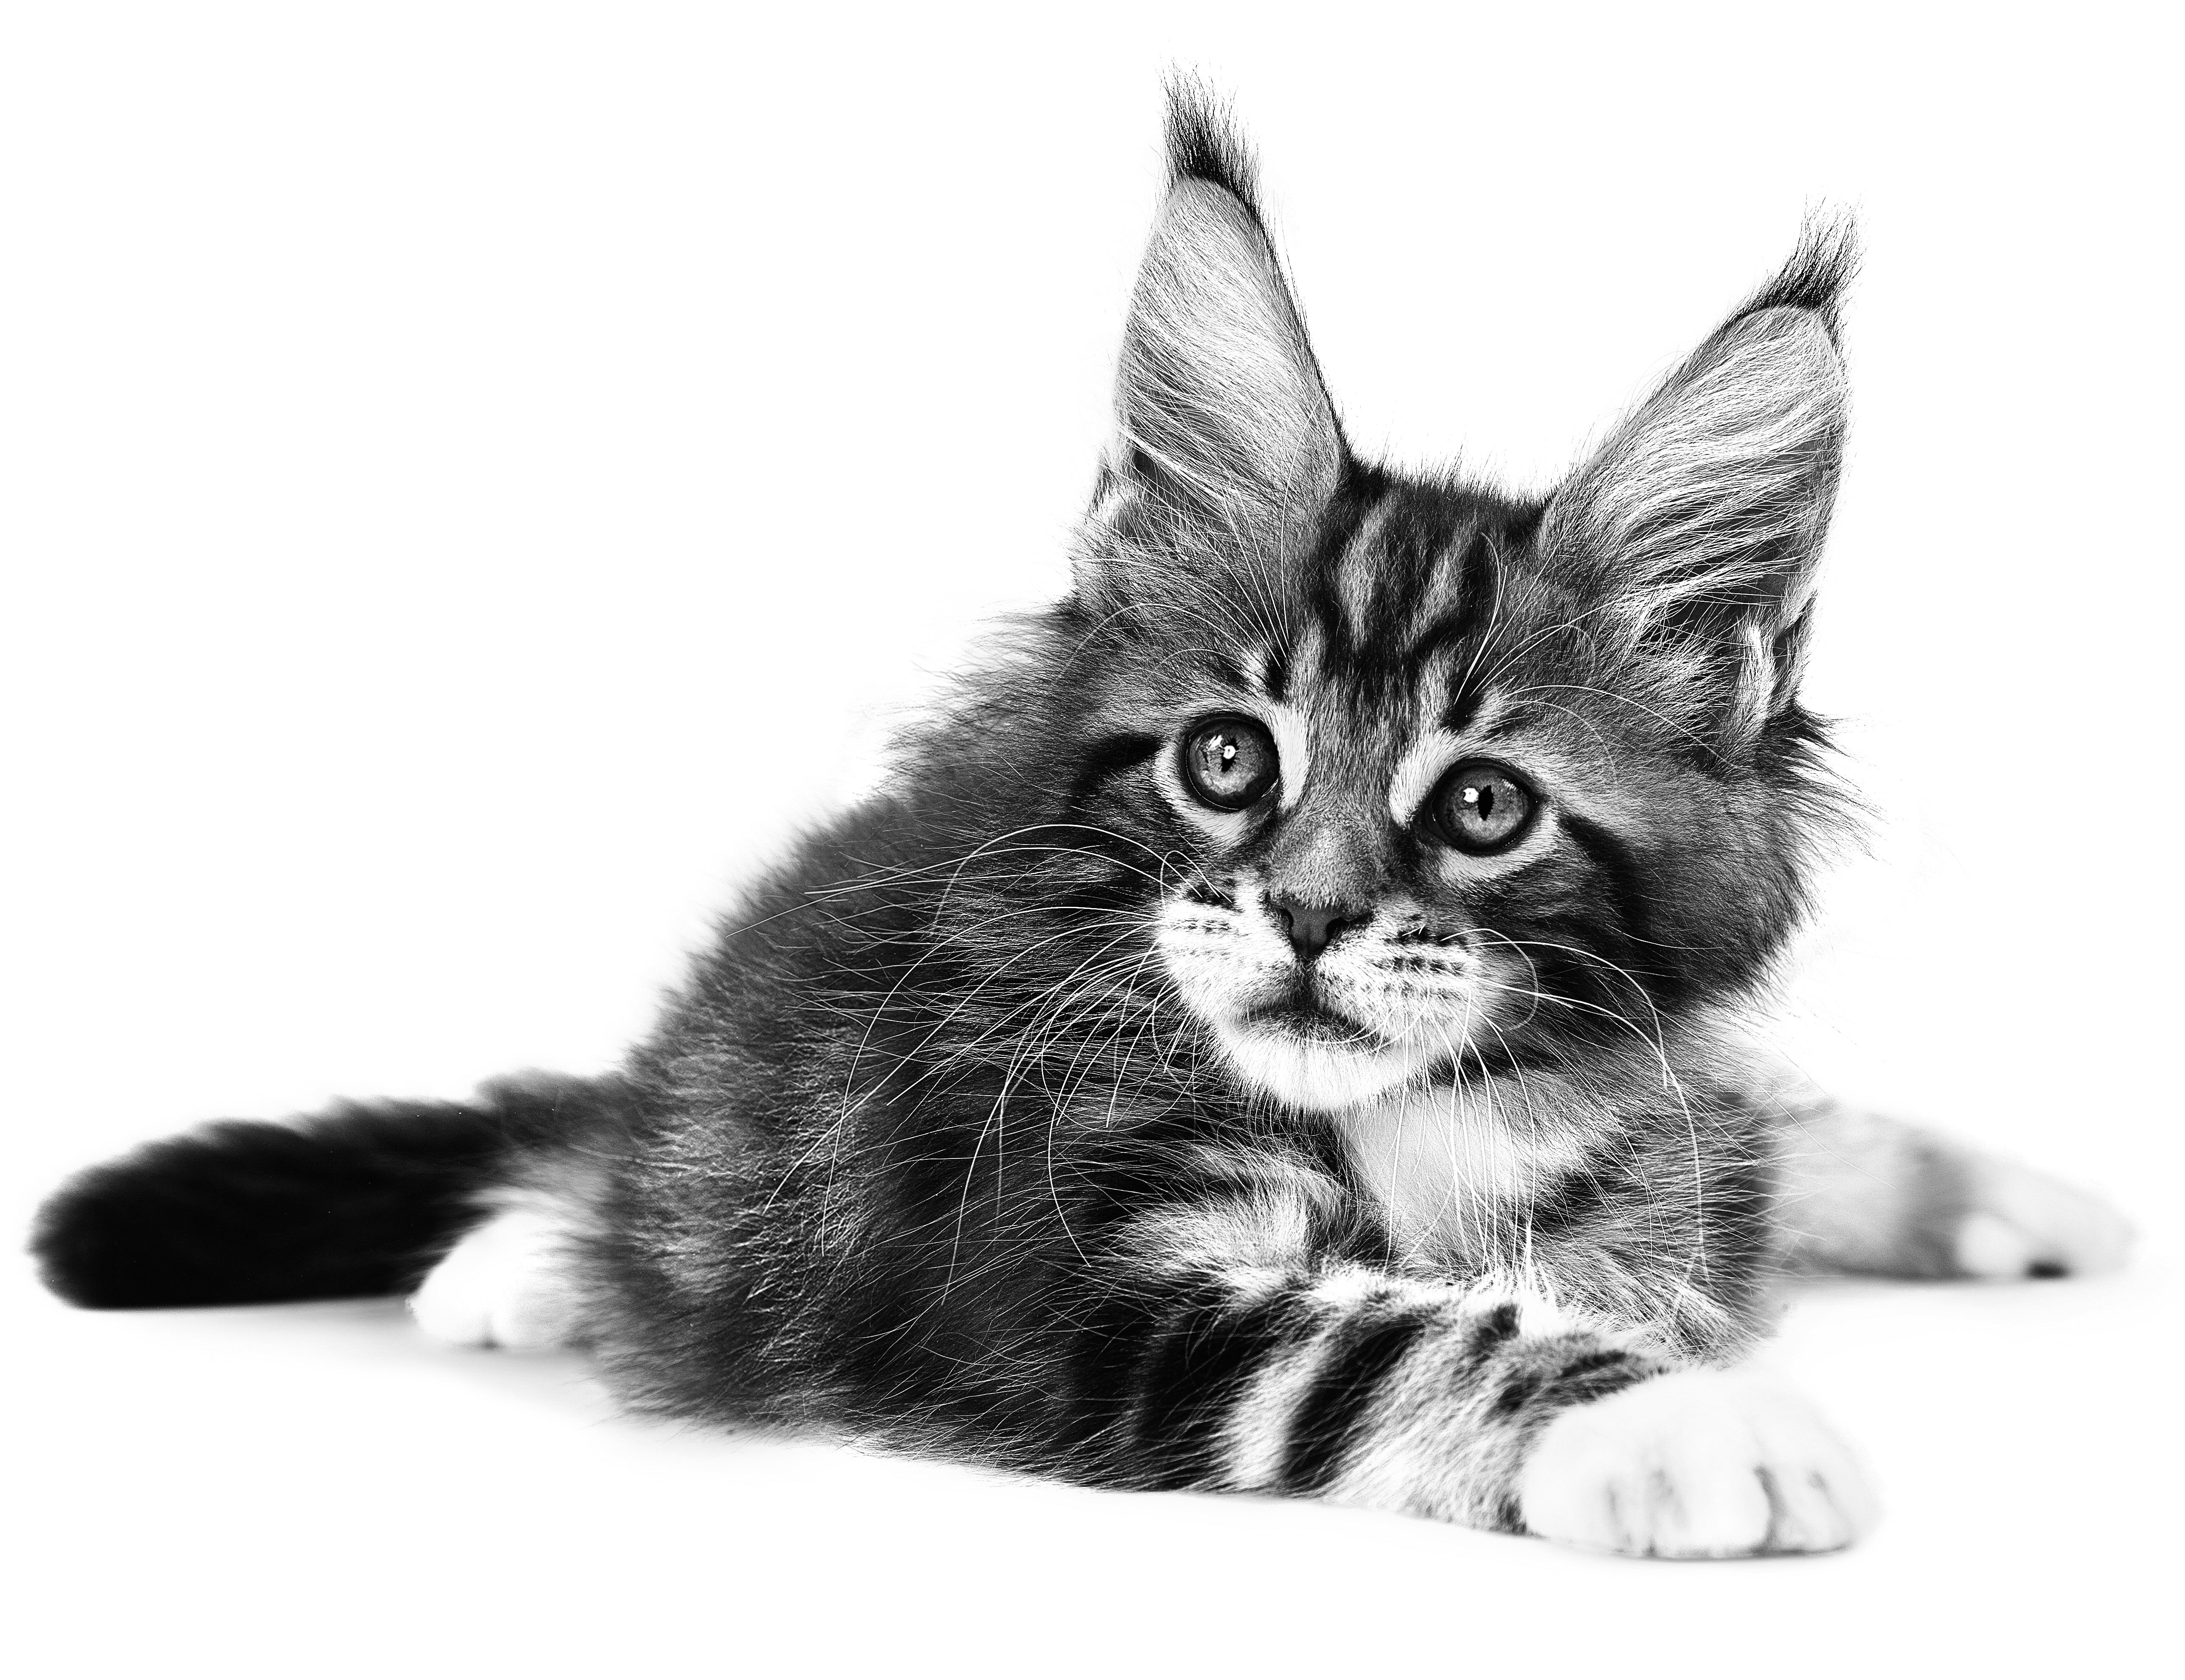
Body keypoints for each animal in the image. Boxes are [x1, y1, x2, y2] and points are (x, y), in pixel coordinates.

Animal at [30, 92, 2132, 1555]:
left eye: (1481, 803)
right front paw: (1688, 1421)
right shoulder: (1049, 1289)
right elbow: (1393, 1330)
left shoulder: (1639, 1131)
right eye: (1228, 763)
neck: (1409, 1129)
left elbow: (1659, 1197)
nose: (1304, 914)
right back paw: (532, 1261)